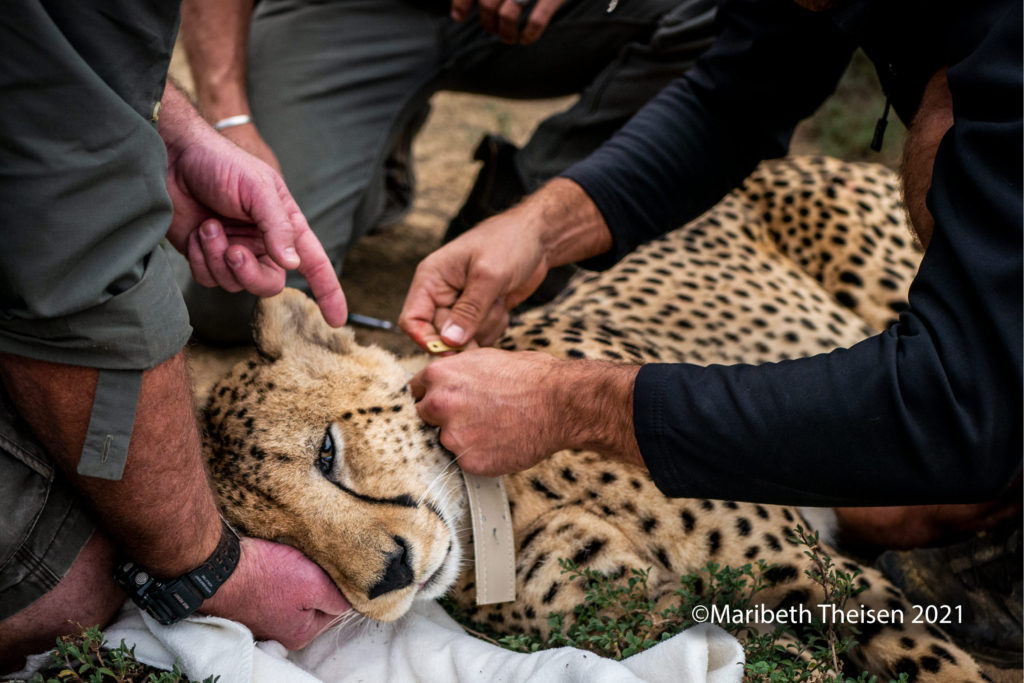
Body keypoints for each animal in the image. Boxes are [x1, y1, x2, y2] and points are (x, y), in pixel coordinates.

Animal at [203, 157, 987, 679]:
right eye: (282, 545)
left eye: (327, 452)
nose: (389, 576)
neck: (502, 507)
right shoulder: (655, 625)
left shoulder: (822, 577)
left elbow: (936, 662)